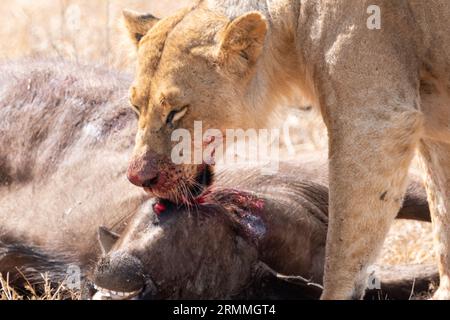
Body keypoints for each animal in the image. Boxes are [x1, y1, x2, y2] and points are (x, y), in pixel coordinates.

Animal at [121, 0, 450, 300]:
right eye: (135, 107)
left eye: (176, 111)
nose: (138, 178)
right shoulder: (433, 126)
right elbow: (442, 217)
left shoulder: (376, 122)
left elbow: (342, 250)